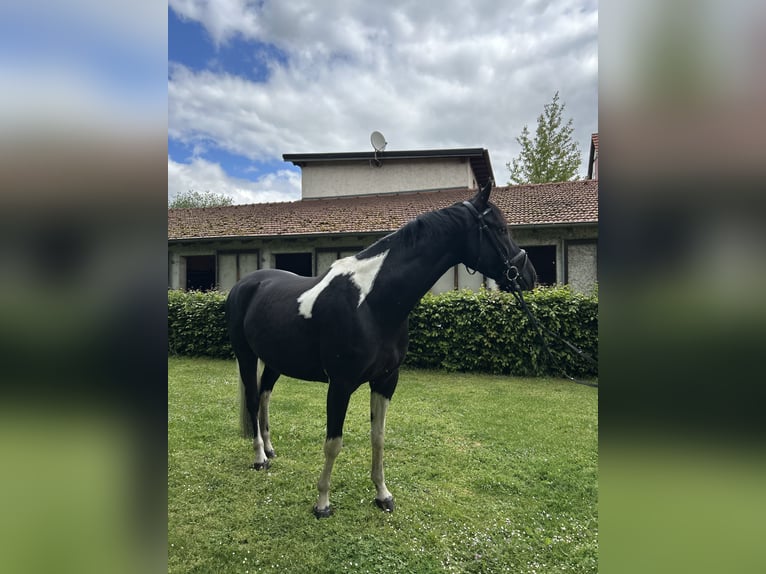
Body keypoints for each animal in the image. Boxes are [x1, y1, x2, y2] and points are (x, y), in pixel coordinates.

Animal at [225, 181, 537, 518]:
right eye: (500, 229)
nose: (529, 275)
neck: (371, 304)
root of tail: (246, 283)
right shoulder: (340, 385)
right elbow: (333, 443)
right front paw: (322, 503)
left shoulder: (386, 380)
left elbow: (378, 437)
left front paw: (382, 494)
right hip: (246, 355)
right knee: (253, 399)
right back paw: (260, 458)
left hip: (276, 360)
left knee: (265, 395)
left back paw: (270, 449)